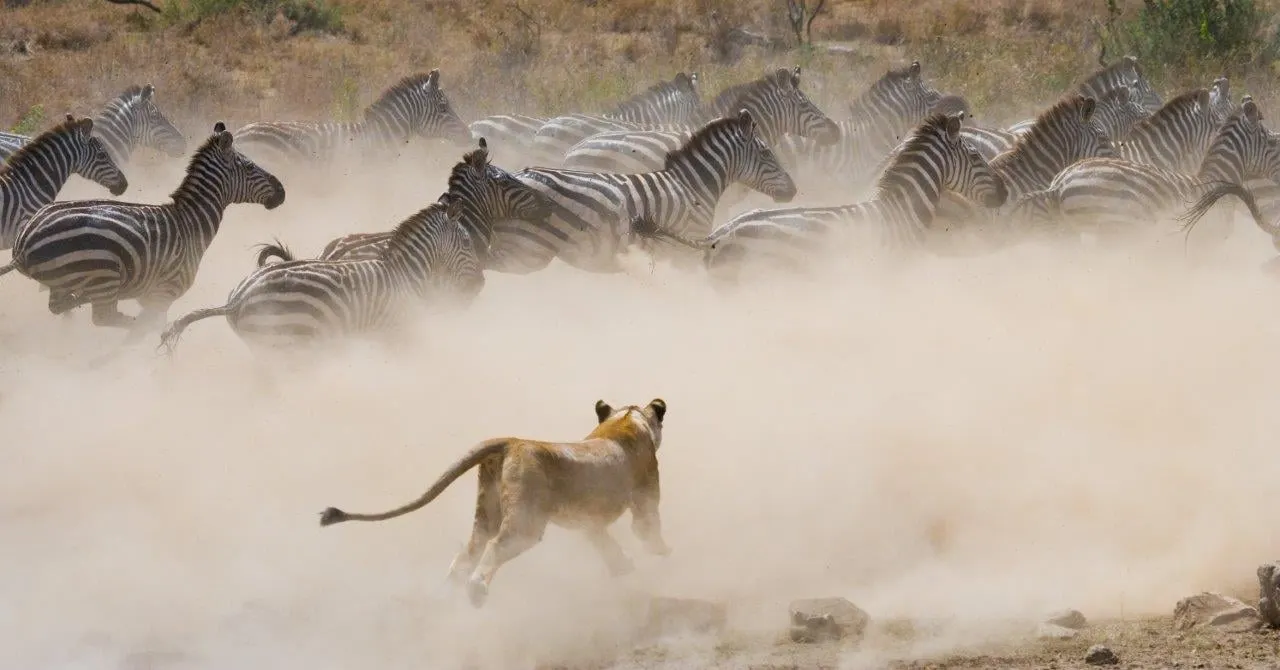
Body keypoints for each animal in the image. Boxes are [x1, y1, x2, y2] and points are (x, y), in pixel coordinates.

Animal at [157, 200, 479, 355]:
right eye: (466, 241)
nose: (480, 285)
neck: (407, 273)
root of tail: (236, 300)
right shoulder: (396, 332)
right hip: (287, 342)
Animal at [318, 397, 671, 608]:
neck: (626, 420)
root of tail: (511, 441)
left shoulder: (589, 522)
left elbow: (604, 543)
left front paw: (622, 567)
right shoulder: (645, 498)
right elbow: (648, 529)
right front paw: (660, 552)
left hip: (486, 512)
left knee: (466, 554)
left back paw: (446, 596)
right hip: (526, 523)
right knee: (494, 547)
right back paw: (476, 592)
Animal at [492, 108, 798, 275]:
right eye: (767, 153)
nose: (794, 191)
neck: (693, 187)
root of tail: (517, 174)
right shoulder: (684, 250)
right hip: (527, 249)